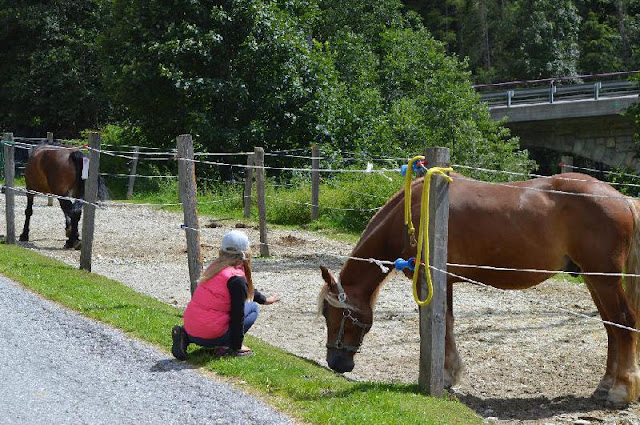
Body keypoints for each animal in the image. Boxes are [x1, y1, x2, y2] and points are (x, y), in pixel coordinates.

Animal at [322, 171, 640, 404]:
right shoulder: (445, 282)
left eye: (333, 314)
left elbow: (438, 325)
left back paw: (620, 391)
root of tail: (623, 199)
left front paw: (444, 377)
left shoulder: (430, 281)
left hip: (605, 280)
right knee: (612, 328)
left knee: (624, 323)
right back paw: (604, 386)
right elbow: (447, 324)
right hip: (593, 279)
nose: (335, 363)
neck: (416, 210)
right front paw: (450, 374)